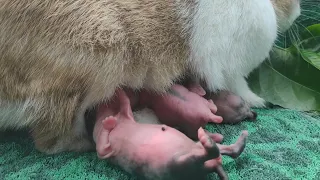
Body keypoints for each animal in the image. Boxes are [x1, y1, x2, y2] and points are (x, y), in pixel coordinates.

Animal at [92, 88, 248, 180]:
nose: (101, 103)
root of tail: (213, 166)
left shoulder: (127, 116)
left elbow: (126, 103)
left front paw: (120, 93)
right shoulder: (103, 147)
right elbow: (102, 149)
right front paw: (108, 122)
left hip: (186, 156)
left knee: (221, 150)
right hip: (180, 163)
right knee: (213, 151)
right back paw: (213, 140)